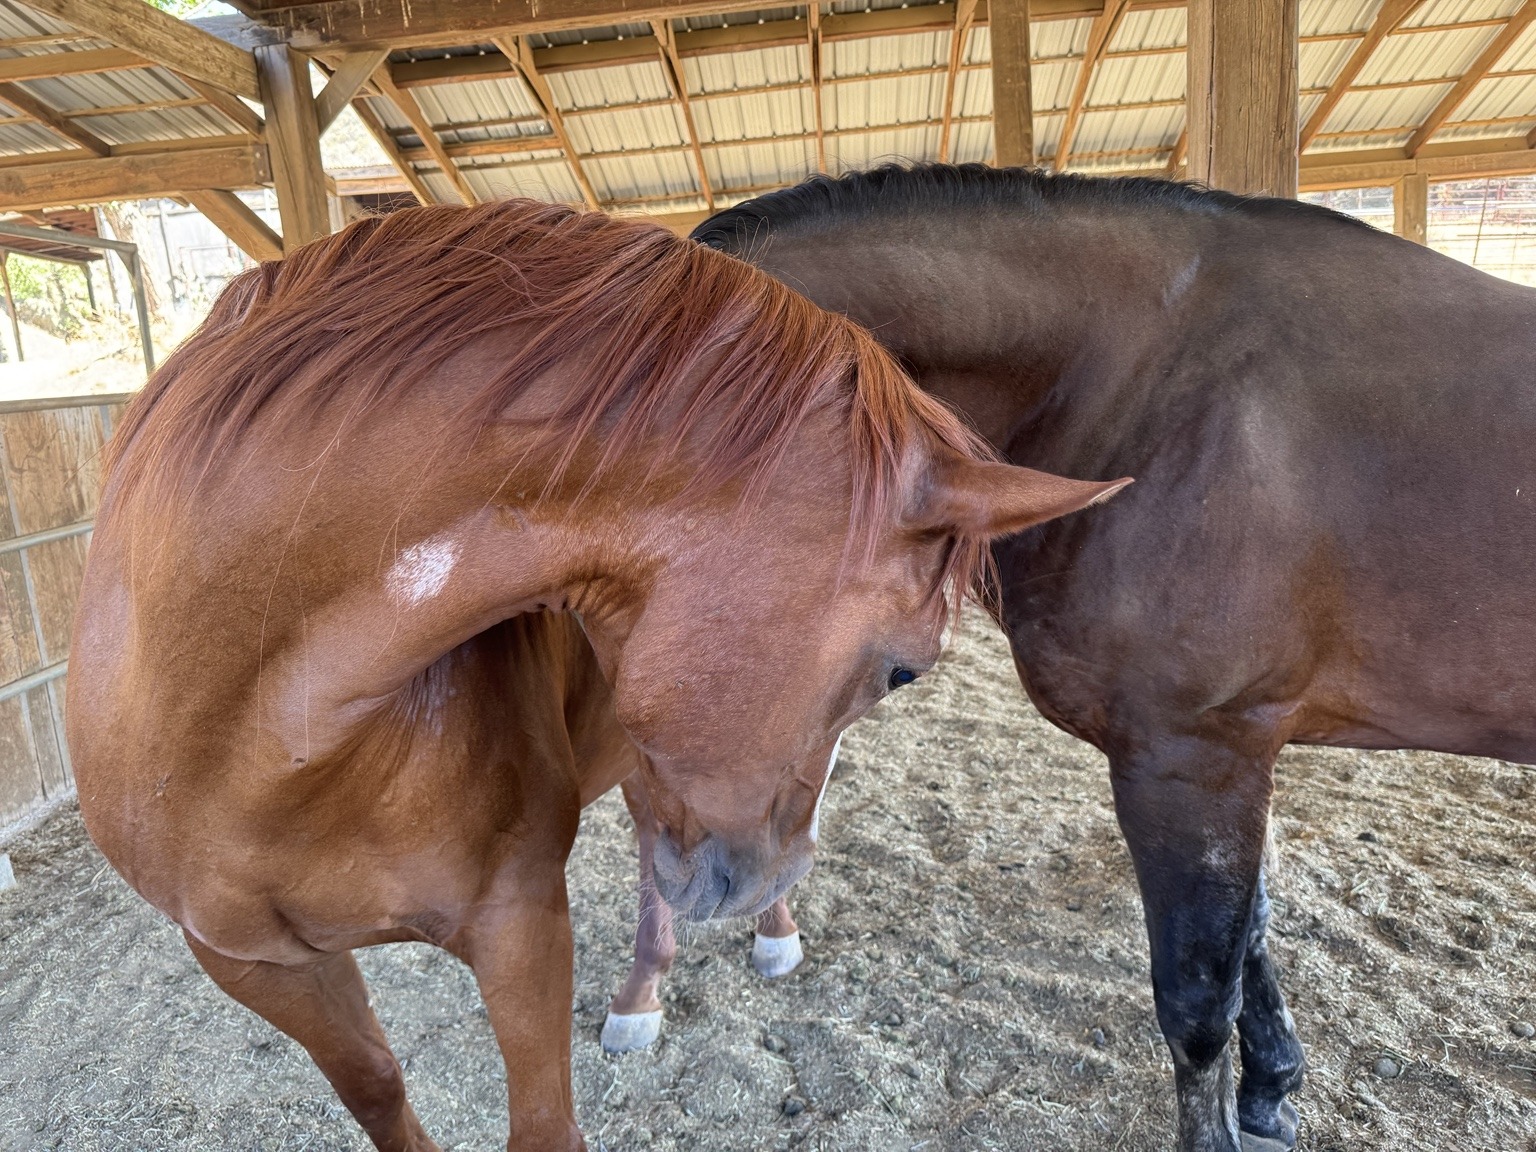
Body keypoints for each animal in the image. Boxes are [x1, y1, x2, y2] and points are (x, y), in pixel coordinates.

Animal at [66, 197, 1129, 1152]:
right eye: (903, 671)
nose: (762, 879)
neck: (251, 733)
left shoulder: (520, 922)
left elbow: (544, 1126)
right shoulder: (250, 964)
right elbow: (375, 1088)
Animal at [687, 164, 1536, 1152]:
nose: (711, 869)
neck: (1142, 394)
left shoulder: (1189, 757)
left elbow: (1197, 999)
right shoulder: (1225, 757)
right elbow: (1250, 936)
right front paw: (1271, 1091)